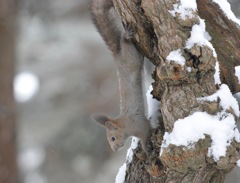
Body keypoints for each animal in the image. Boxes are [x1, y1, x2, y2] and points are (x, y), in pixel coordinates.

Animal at [90, 0, 156, 152]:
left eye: (113, 138)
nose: (114, 149)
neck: (125, 125)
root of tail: (117, 55)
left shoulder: (139, 125)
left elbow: (145, 134)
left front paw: (147, 149)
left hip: (130, 56)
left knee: (125, 43)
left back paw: (126, 36)